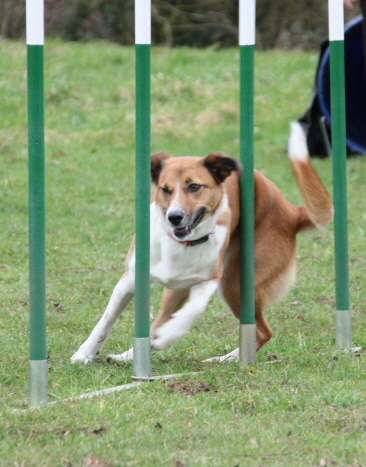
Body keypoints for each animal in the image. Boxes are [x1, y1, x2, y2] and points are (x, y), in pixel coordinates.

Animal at [70, 121, 334, 366]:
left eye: (194, 186)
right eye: (165, 190)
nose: (174, 217)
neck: (182, 244)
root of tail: (292, 212)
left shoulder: (209, 279)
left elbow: (193, 310)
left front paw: (170, 334)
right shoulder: (131, 279)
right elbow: (106, 320)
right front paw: (84, 354)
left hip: (234, 282)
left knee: (262, 332)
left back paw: (224, 359)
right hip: (178, 291)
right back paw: (130, 355)